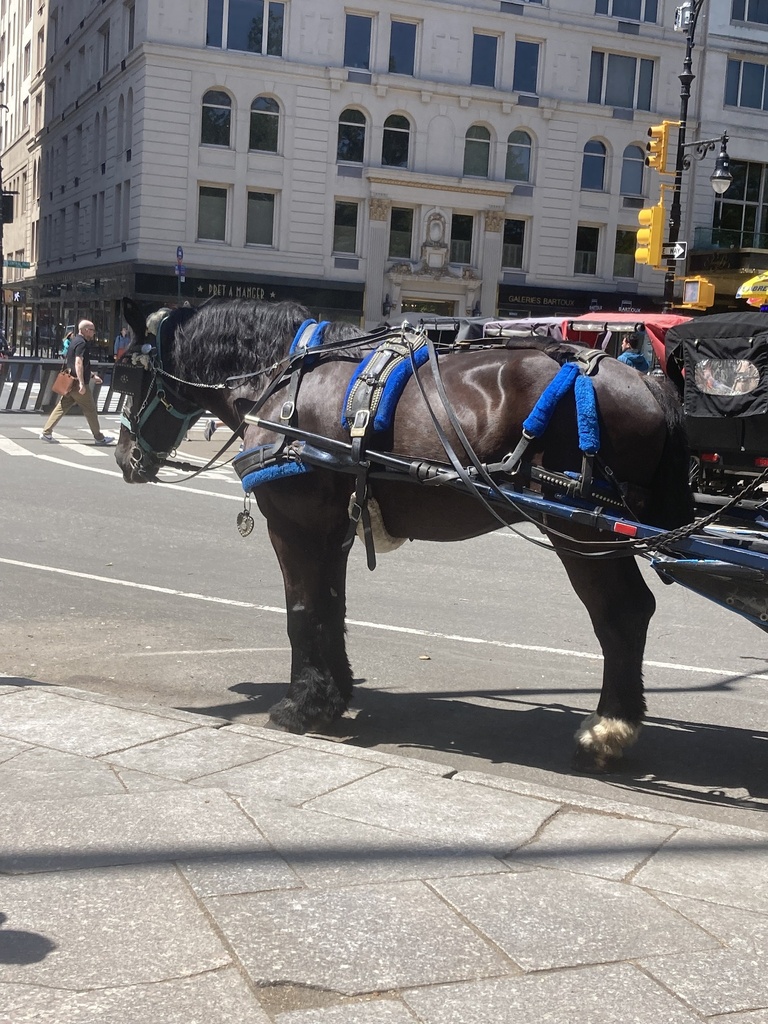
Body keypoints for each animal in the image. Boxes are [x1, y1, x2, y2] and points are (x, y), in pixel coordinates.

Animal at [115, 296, 696, 770]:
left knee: (622, 616)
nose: (124, 457)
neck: (282, 379)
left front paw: (300, 706)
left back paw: (609, 729)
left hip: (584, 533)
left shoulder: (294, 524)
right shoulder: (334, 527)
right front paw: (331, 698)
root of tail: (646, 380)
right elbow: (330, 607)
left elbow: (301, 611)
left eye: (129, 372)